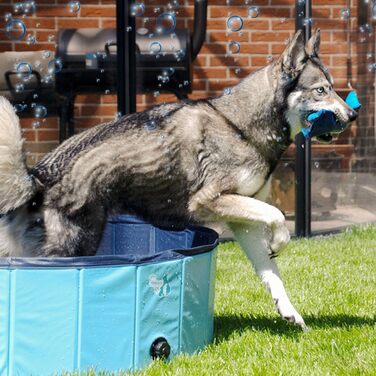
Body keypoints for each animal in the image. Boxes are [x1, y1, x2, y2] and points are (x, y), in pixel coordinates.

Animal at [0, 30, 356, 328]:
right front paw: (280, 241)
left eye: (334, 88)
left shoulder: (243, 220)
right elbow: (278, 215)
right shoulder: (209, 201)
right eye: (322, 90)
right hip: (73, 246)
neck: (240, 127)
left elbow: (271, 273)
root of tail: (37, 177)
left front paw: (289, 310)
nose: (352, 115)